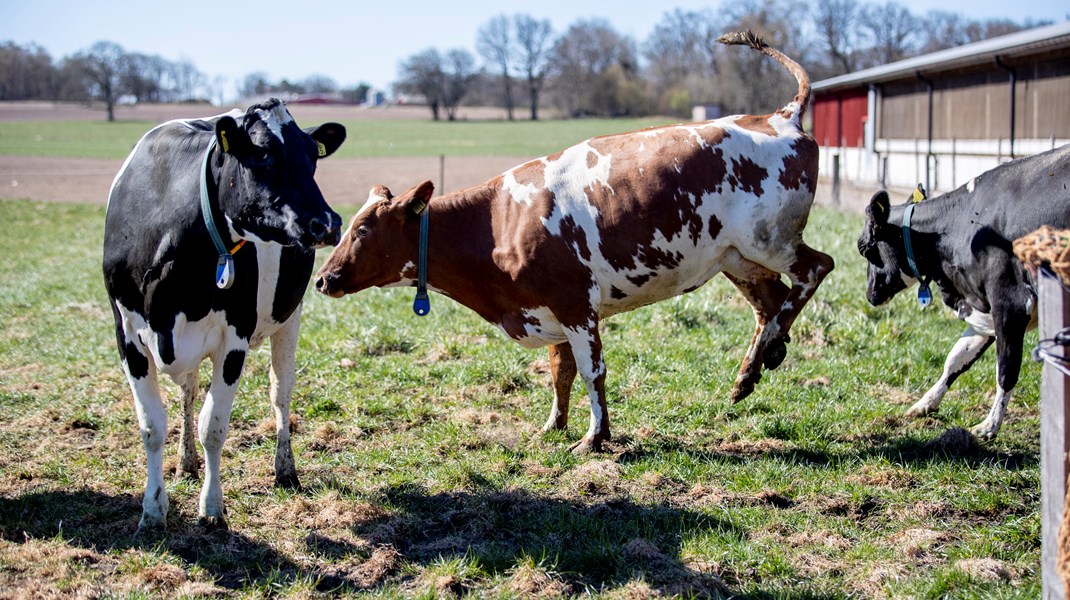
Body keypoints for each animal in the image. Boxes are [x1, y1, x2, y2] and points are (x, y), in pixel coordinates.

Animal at [102, 99, 344, 528]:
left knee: (280, 393)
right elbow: (152, 426)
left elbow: (213, 426)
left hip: (290, 316)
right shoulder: (127, 333)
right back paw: (185, 463)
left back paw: (285, 470)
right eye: (263, 155)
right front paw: (153, 509)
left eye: (311, 157)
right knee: (188, 390)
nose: (327, 222)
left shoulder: (235, 337)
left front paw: (212, 507)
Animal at [312, 32, 830, 451]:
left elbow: (591, 372)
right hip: (735, 258)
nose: (323, 279)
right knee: (770, 303)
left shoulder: (576, 305)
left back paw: (770, 349)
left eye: (362, 229)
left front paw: (595, 438)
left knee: (814, 270)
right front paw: (553, 426)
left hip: (771, 241)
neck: (496, 222)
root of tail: (780, 116)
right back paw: (751, 371)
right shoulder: (548, 311)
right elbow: (559, 374)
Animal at [856, 142, 1070, 438]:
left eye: (865, 249)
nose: (870, 295)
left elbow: (1006, 368)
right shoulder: (982, 307)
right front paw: (925, 403)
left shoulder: (1010, 301)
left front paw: (989, 426)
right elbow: (957, 358)